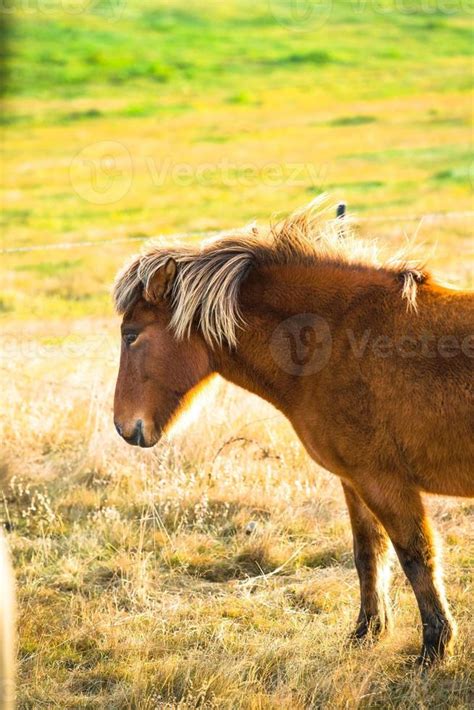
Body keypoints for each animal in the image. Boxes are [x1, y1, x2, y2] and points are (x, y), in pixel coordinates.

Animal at [113, 202, 472, 668]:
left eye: (131, 335)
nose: (124, 426)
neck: (338, 341)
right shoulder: (355, 481)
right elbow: (368, 553)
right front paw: (366, 632)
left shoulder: (384, 482)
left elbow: (416, 557)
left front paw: (434, 648)